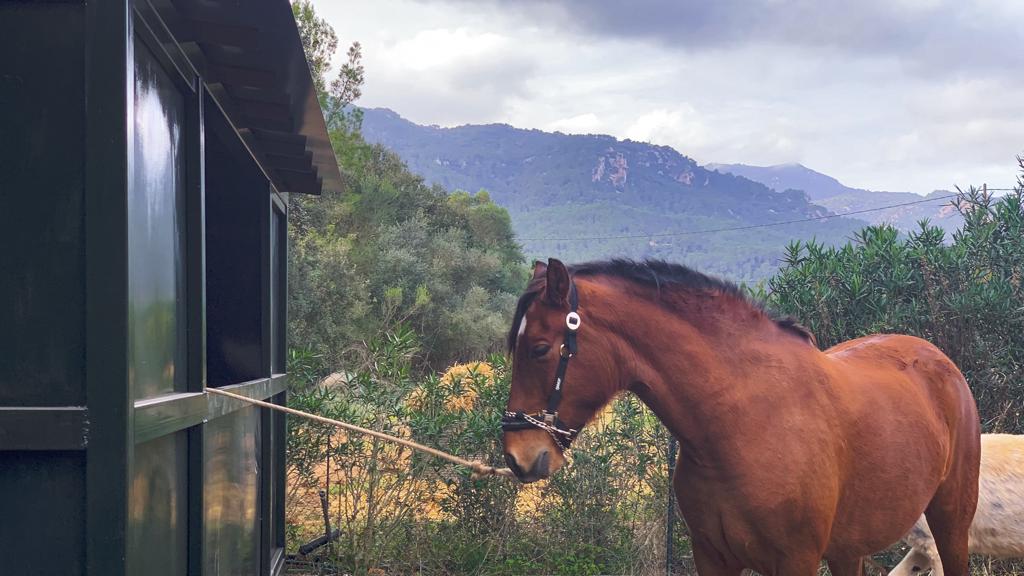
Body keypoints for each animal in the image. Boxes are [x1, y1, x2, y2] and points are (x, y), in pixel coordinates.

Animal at [499, 259, 978, 573]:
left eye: (539, 348)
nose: (517, 456)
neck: (742, 423)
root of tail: (938, 359)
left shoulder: (795, 562)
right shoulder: (713, 557)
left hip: (952, 522)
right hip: (850, 546)